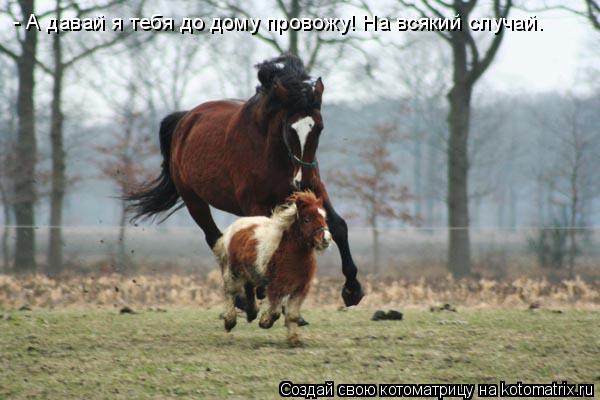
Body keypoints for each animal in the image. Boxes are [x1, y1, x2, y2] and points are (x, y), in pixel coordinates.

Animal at [124, 54, 364, 316]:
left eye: (319, 128)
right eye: (290, 129)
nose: (300, 181)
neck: (272, 153)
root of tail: (185, 119)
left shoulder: (315, 192)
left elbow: (339, 226)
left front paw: (352, 290)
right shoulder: (255, 203)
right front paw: (263, 291)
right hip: (194, 201)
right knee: (215, 239)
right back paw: (241, 296)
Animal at [212, 192, 332, 346]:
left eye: (324, 218)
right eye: (307, 219)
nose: (326, 240)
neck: (289, 252)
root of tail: (233, 228)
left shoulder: (300, 289)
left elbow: (292, 315)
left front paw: (294, 340)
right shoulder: (276, 287)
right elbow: (275, 312)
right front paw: (265, 322)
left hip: (249, 272)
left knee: (248, 288)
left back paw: (251, 313)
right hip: (233, 272)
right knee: (230, 292)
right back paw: (230, 321)